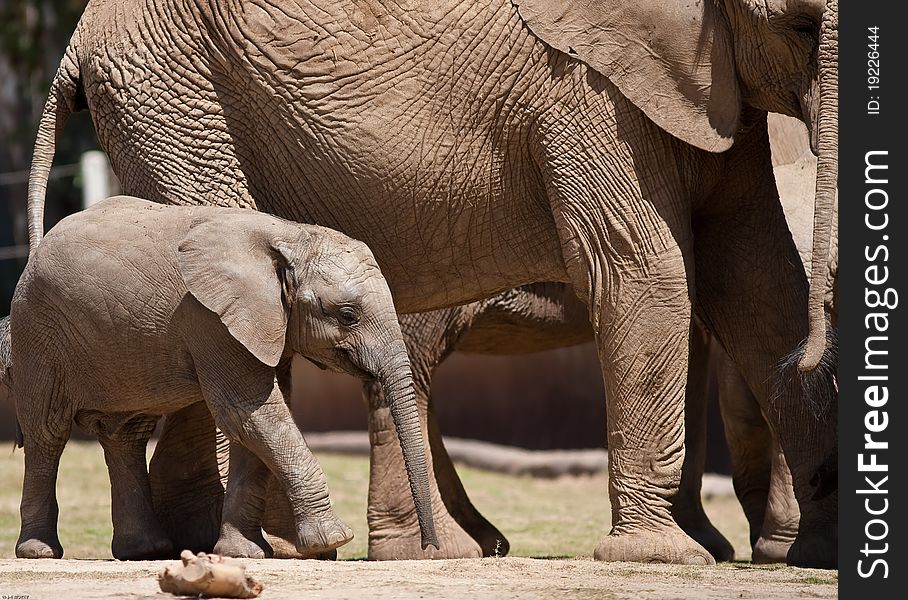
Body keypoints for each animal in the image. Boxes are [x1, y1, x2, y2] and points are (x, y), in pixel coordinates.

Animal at [10, 197, 436, 556]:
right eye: (348, 315)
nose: (428, 547)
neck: (289, 236)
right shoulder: (208, 318)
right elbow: (250, 411)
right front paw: (331, 540)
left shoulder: (261, 324)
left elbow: (255, 423)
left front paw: (243, 554)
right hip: (38, 331)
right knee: (47, 432)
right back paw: (39, 552)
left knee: (125, 434)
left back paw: (146, 551)